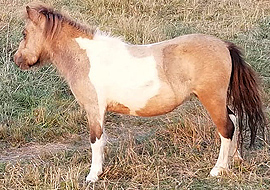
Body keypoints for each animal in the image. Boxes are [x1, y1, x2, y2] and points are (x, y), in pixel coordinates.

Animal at [13, 4, 264, 183]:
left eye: (24, 33)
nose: (17, 60)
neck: (86, 57)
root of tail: (224, 45)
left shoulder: (94, 109)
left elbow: (95, 140)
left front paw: (92, 175)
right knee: (234, 120)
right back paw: (235, 159)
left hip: (212, 99)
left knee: (226, 128)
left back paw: (218, 169)